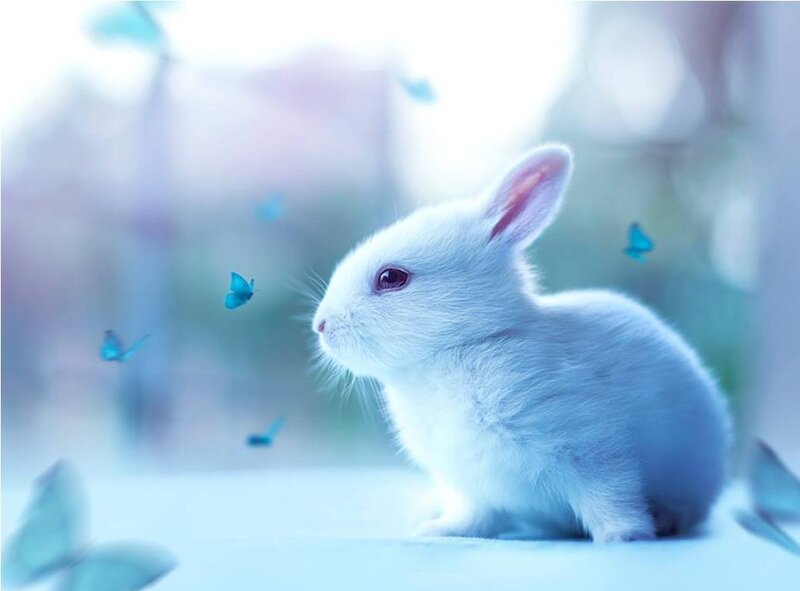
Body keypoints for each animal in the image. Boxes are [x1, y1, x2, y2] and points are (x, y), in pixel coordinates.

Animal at [312, 145, 731, 542]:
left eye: (391, 278)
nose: (320, 325)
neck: (463, 346)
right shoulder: (476, 489)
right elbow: (476, 516)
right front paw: (441, 530)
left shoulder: (591, 448)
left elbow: (612, 497)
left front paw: (625, 535)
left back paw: (669, 519)